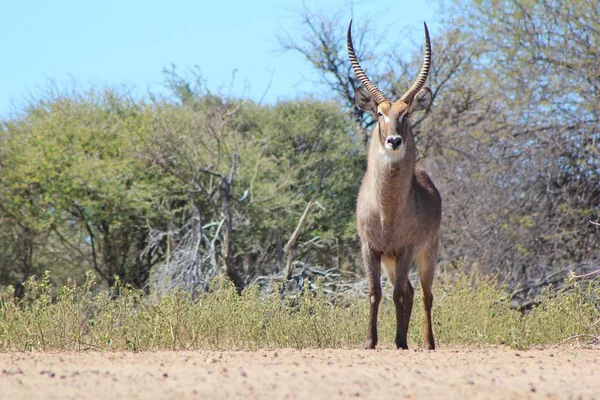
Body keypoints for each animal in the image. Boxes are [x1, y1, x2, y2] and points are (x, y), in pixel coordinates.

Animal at [346, 21, 440, 350]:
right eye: (379, 113)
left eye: (406, 113)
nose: (394, 141)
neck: (386, 209)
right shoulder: (370, 248)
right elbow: (376, 293)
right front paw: (370, 341)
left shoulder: (405, 249)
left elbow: (398, 293)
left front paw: (400, 341)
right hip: (391, 260)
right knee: (411, 291)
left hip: (427, 253)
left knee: (425, 294)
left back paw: (427, 343)